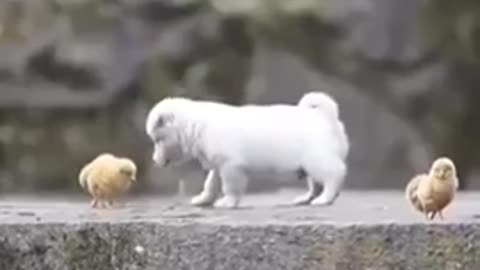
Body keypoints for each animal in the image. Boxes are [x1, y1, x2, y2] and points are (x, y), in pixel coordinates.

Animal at [144, 97, 346, 209]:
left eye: (157, 140)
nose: (154, 160)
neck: (195, 125)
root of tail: (325, 117)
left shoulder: (230, 166)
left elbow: (230, 186)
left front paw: (228, 202)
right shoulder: (219, 164)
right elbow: (211, 183)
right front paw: (204, 199)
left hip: (316, 159)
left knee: (333, 175)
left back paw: (324, 198)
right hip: (309, 165)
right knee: (316, 183)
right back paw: (307, 198)